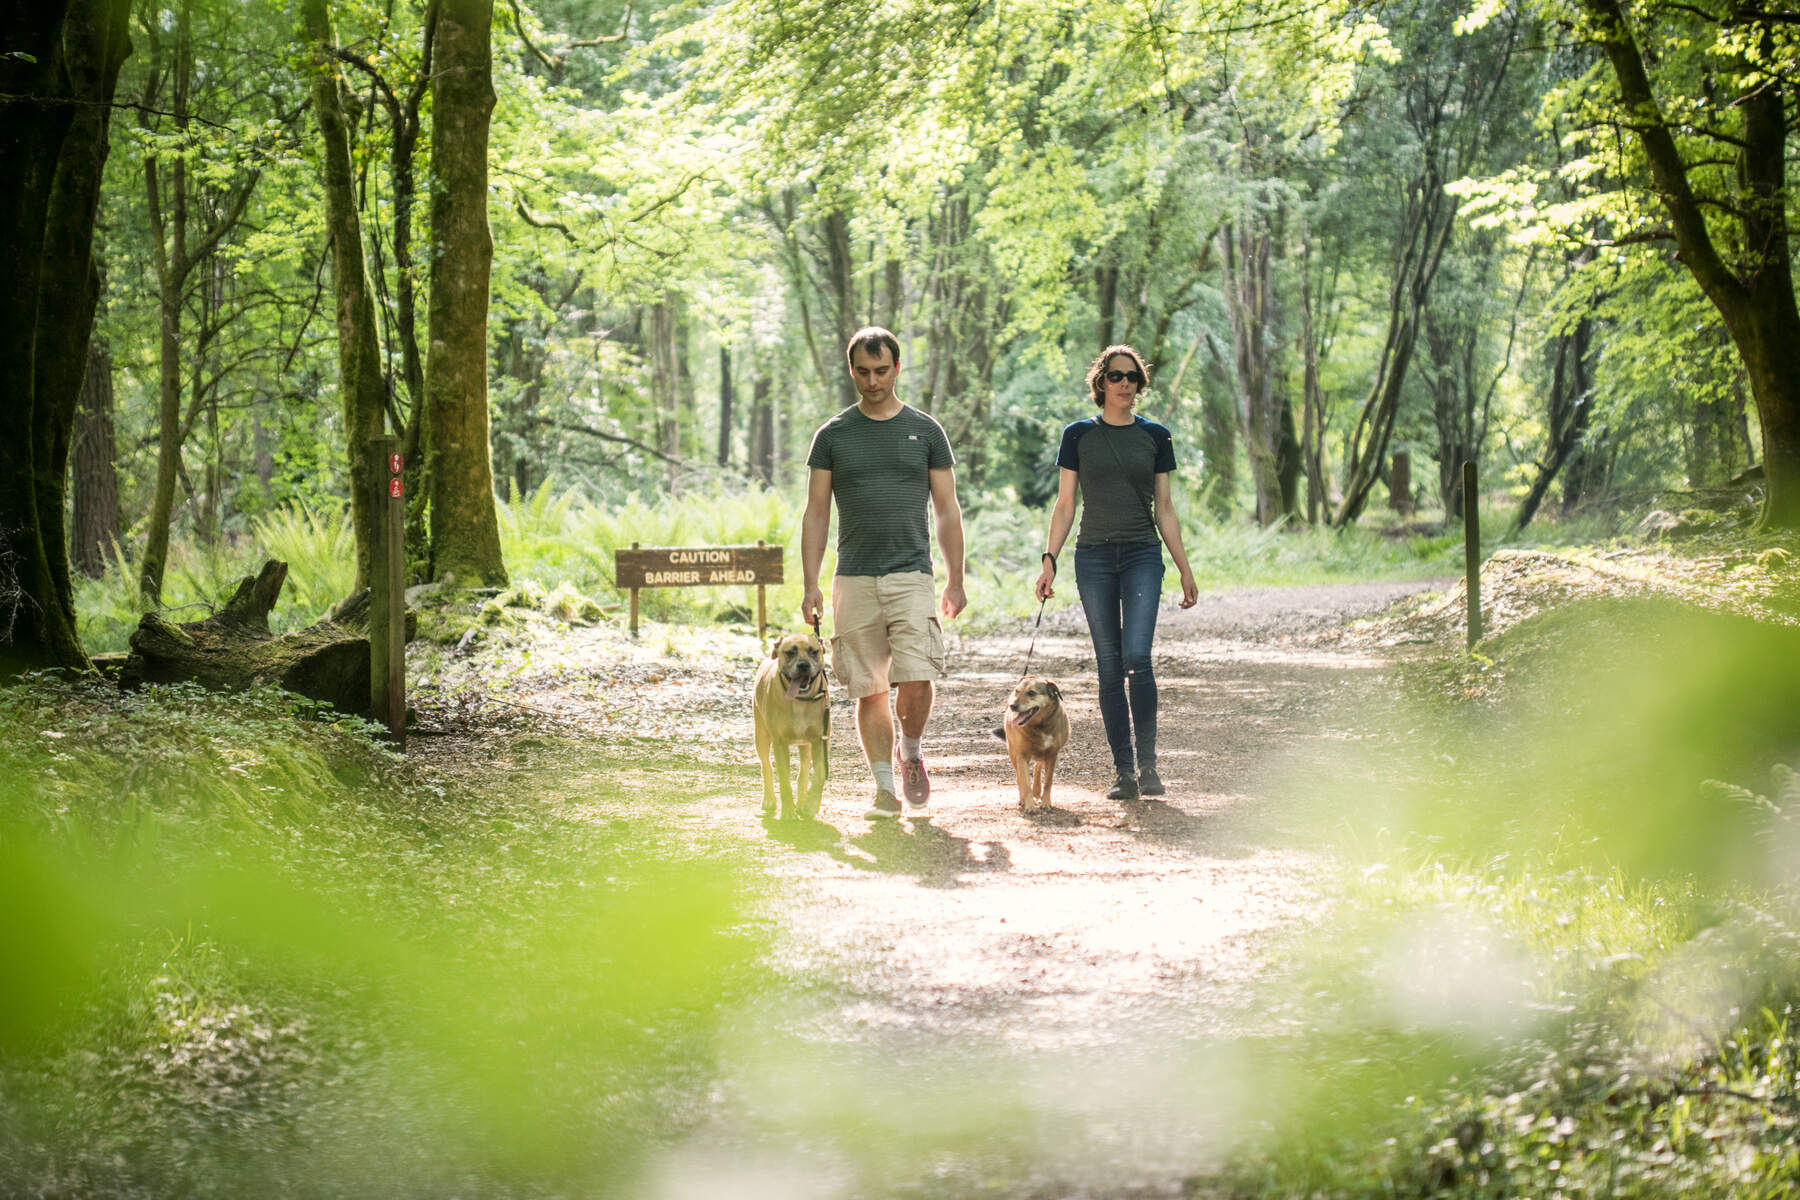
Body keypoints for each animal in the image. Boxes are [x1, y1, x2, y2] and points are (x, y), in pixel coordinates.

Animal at [748, 633, 831, 820]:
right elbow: (784, 780)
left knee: (804, 771)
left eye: (814, 651)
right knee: (766, 766)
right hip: (761, 736)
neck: (800, 701)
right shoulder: (779, 743)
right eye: (790, 652)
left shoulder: (819, 740)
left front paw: (811, 805)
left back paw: (801, 803)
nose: (803, 665)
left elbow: (819, 774)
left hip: (806, 745)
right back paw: (769, 799)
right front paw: (787, 813)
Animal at [1000, 676, 1065, 816]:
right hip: (1013, 753)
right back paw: (1023, 799)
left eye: (1031, 693)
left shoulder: (1052, 755)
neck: (1040, 726)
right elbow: (1024, 782)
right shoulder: (1021, 756)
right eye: (1017, 691)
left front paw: (1046, 803)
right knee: (1019, 777)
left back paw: (1036, 790)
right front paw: (1029, 805)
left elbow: (1048, 781)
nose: (1012, 706)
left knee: (1038, 765)